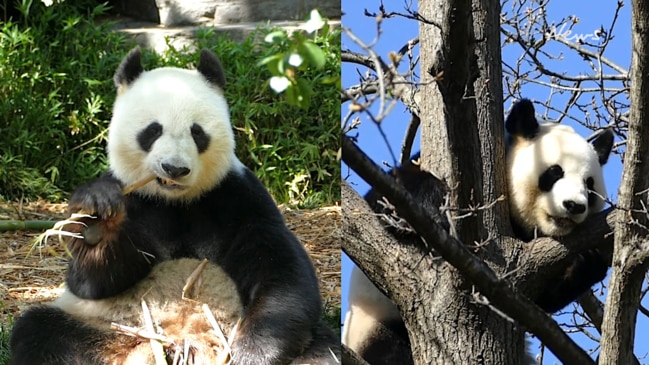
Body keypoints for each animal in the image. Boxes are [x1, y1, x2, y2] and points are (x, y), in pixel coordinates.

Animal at [10, 47, 340, 364]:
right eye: (153, 130)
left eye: (197, 132)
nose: (174, 168)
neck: (175, 202)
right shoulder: (135, 200)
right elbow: (93, 283)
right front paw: (96, 225)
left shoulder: (237, 197)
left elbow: (279, 268)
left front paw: (253, 353)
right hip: (103, 326)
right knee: (40, 331)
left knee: (323, 352)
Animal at [344, 98, 612, 362]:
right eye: (555, 172)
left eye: (589, 185)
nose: (574, 205)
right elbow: (386, 198)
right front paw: (433, 204)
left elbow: (540, 300)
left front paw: (588, 260)